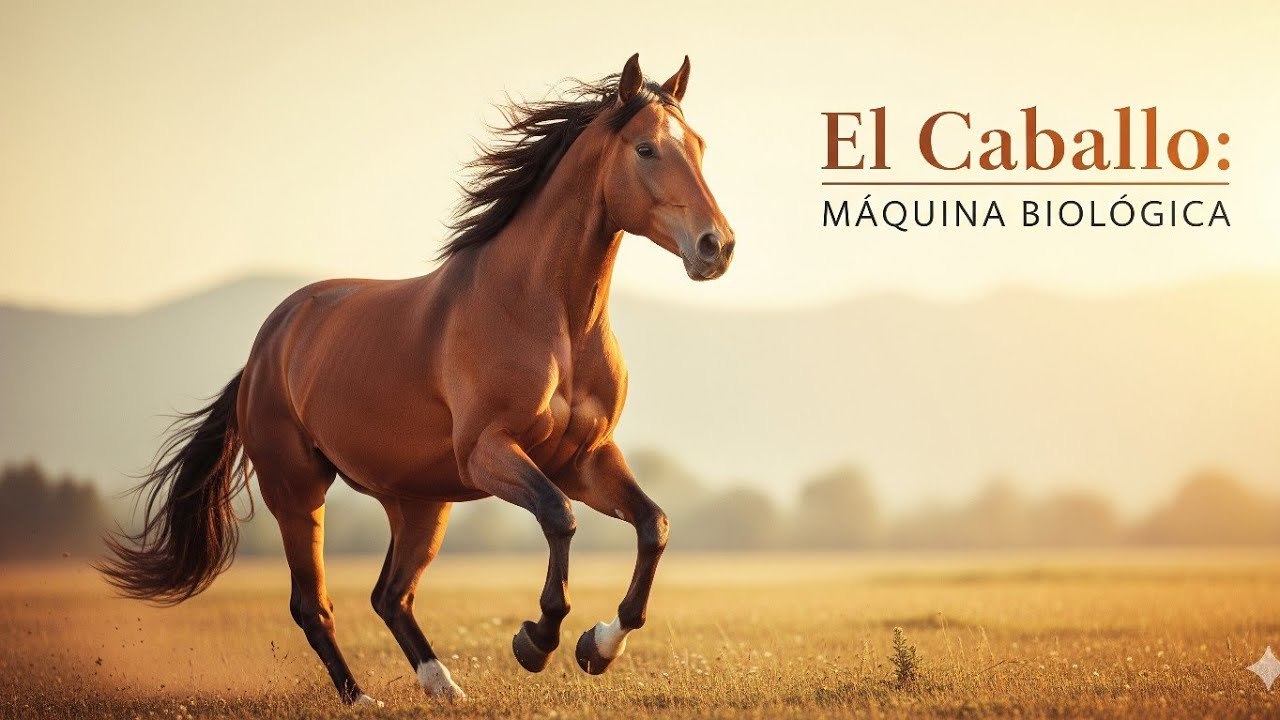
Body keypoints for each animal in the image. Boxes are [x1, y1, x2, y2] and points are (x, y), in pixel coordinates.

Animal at [98, 53, 734, 706]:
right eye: (646, 149)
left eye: (699, 145)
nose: (717, 246)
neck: (548, 315)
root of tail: (265, 350)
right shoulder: (491, 452)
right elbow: (560, 518)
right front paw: (535, 640)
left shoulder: (585, 458)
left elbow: (653, 526)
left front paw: (599, 647)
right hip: (298, 492)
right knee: (314, 605)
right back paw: (361, 699)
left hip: (420, 503)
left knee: (390, 595)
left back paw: (443, 687)